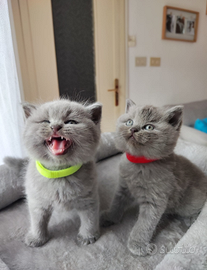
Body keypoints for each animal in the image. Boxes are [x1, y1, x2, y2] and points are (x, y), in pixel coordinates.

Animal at [16, 99, 101, 247]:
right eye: (45, 121)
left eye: (71, 122)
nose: (55, 126)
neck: (59, 173)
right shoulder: (37, 201)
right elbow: (37, 222)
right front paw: (36, 238)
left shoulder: (89, 199)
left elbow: (89, 219)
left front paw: (87, 236)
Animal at [101, 100, 207, 256]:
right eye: (129, 122)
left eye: (148, 127)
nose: (133, 129)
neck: (139, 163)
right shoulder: (123, 187)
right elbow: (116, 204)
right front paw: (110, 218)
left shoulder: (155, 200)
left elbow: (144, 225)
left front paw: (137, 246)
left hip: (190, 202)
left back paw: (192, 220)